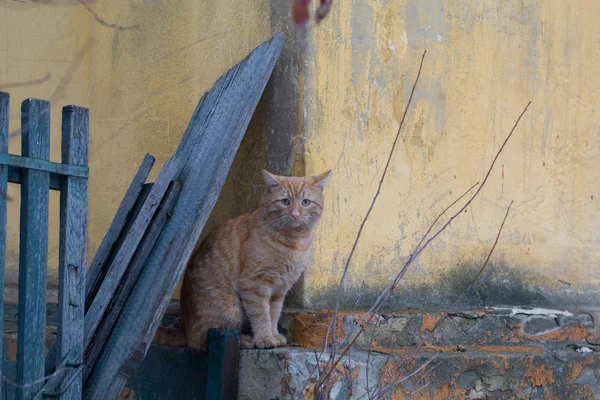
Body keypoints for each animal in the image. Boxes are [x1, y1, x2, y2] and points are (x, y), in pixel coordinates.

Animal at [154, 169, 332, 350]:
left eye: (305, 202)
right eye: (285, 201)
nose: (295, 214)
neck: (295, 241)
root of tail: (184, 328)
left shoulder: (280, 289)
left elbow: (274, 314)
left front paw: (274, 334)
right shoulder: (254, 284)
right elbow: (261, 315)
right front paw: (265, 338)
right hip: (229, 308)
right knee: (203, 339)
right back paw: (245, 340)